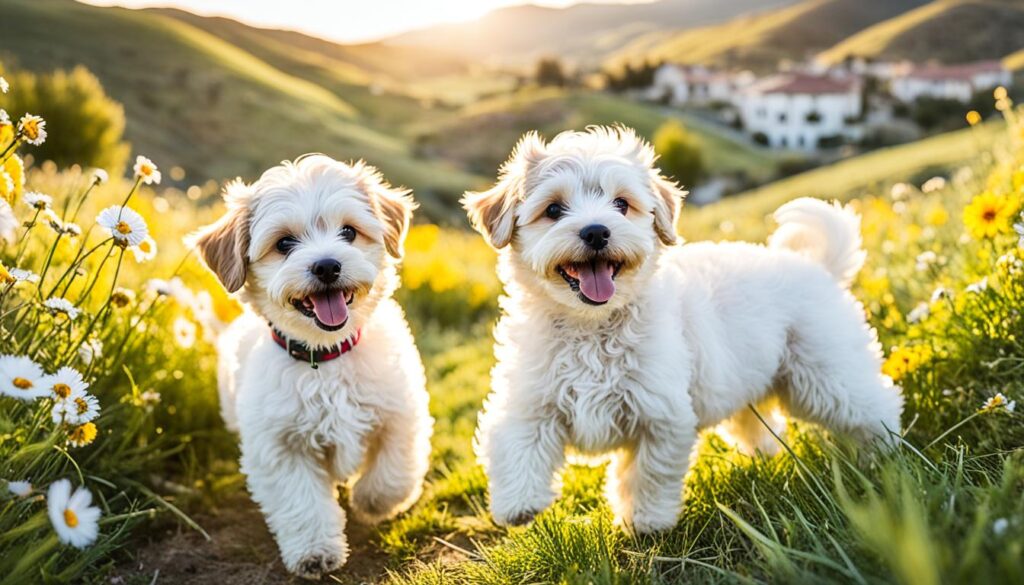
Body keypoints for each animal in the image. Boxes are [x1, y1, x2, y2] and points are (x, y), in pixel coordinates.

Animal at [193, 155, 430, 581]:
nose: (327, 266)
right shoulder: (280, 447)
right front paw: (315, 552)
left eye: (348, 232)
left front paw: (372, 501)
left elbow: (394, 470)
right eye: (284, 243)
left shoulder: (401, 411)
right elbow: (302, 502)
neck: (327, 356)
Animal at [464, 127, 905, 536]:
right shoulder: (530, 398)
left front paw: (646, 522)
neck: (592, 326)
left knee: (871, 405)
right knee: (760, 419)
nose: (596, 231)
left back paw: (884, 455)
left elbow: (649, 473)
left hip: (825, 371)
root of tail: (817, 267)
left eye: (621, 204)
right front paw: (518, 504)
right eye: (554, 209)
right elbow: (515, 442)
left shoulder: (660, 413)